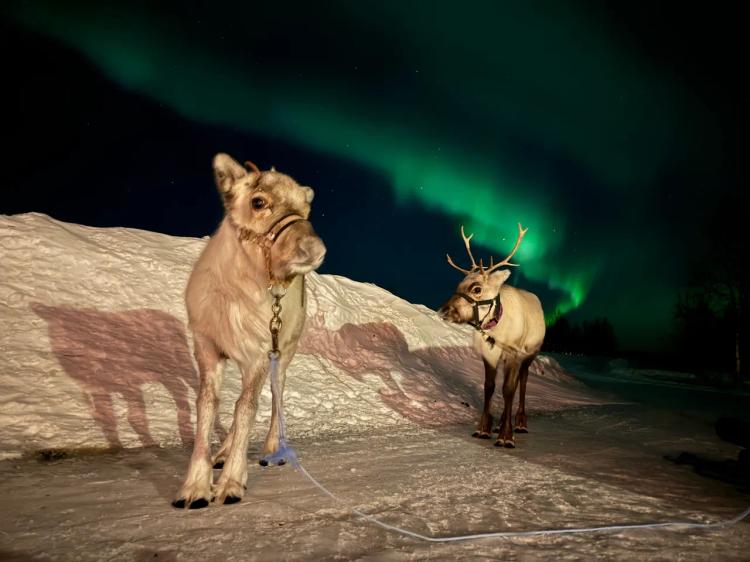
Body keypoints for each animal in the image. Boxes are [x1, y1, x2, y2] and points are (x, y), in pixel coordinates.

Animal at [173, 153, 326, 509]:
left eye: (306, 209)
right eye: (258, 201)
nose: (314, 249)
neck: (234, 295)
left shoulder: (259, 354)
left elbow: (247, 409)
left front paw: (230, 483)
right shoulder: (207, 346)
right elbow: (208, 404)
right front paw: (195, 487)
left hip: (283, 353)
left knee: (275, 396)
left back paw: (272, 450)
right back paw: (222, 453)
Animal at [438, 223, 545, 448]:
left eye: (476, 288)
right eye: (458, 285)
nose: (442, 310)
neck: (496, 328)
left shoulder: (514, 353)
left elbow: (508, 389)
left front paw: (506, 436)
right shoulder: (489, 354)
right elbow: (489, 387)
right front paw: (484, 429)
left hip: (530, 354)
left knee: (522, 381)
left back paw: (520, 423)